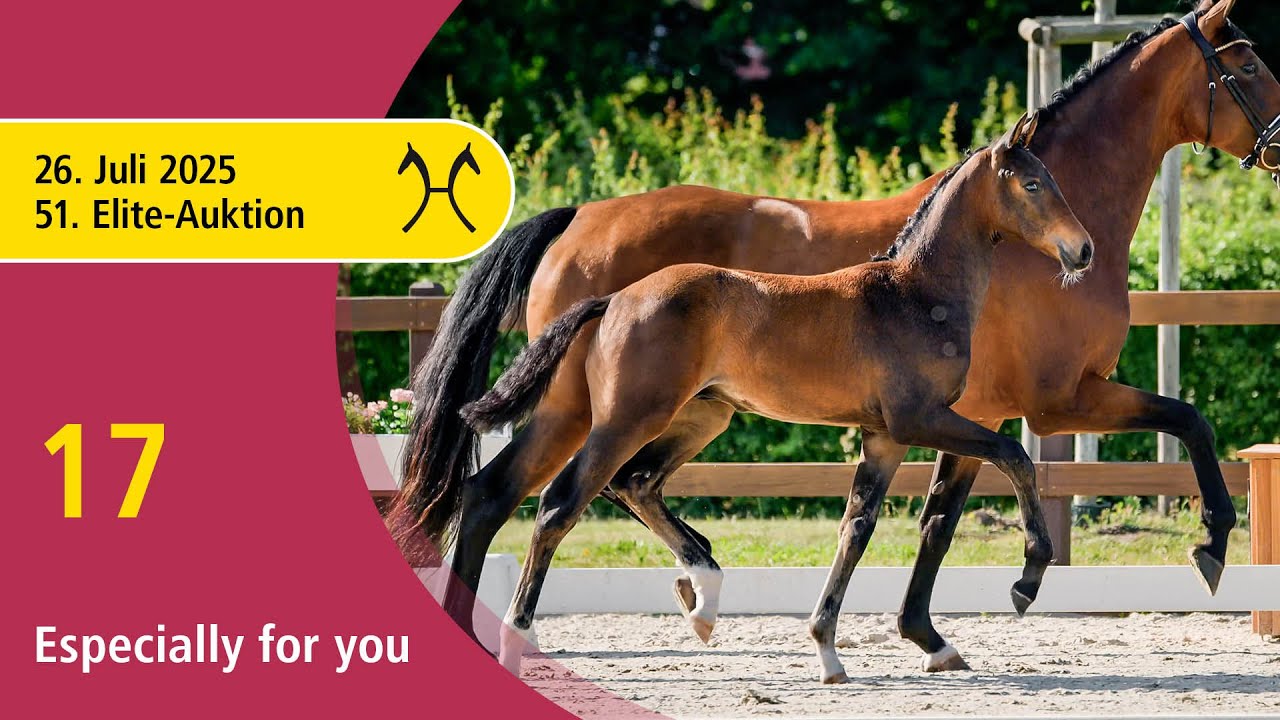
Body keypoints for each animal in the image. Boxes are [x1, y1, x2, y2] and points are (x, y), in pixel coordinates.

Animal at [462, 114, 1093, 680]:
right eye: (1032, 184)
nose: (1082, 250)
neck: (915, 294)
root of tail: (614, 299)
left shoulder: (884, 436)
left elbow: (855, 528)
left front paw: (829, 651)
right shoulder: (921, 419)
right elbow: (1014, 454)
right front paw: (1027, 579)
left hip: (702, 417)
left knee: (633, 483)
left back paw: (704, 599)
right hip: (625, 419)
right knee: (557, 505)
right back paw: (518, 635)